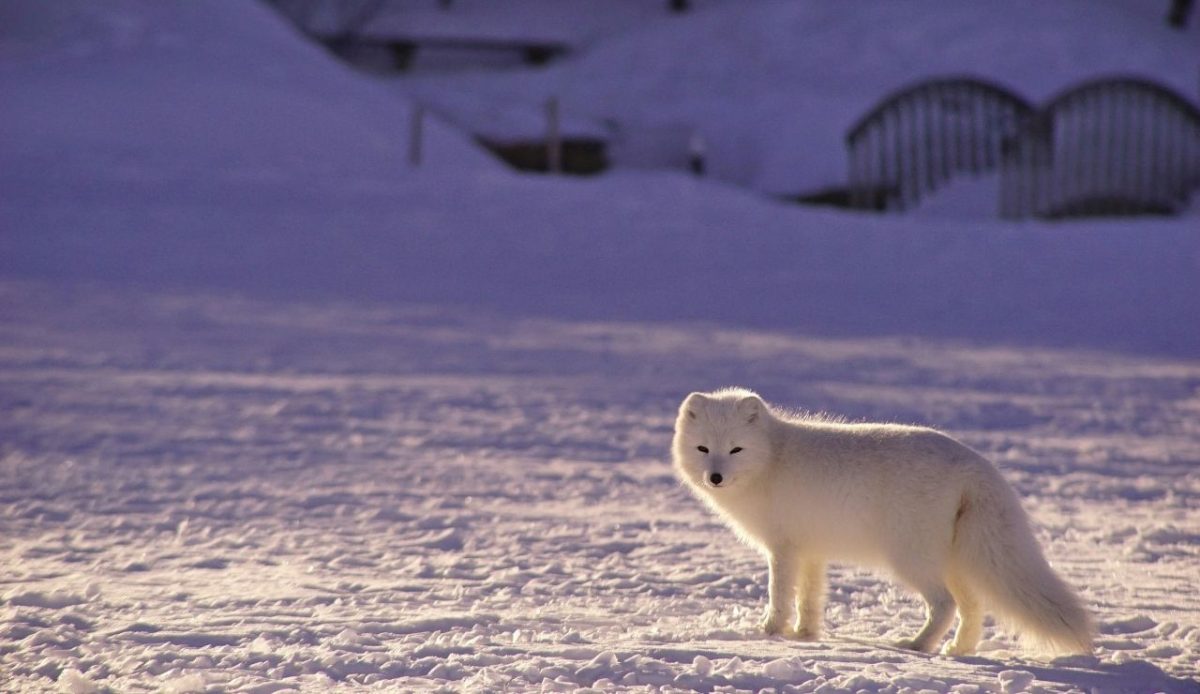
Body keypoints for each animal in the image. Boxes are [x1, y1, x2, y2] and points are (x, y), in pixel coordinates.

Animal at [672, 387, 1093, 656]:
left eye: (736, 450)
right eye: (703, 449)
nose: (715, 477)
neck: (772, 459)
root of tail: (976, 464)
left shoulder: (784, 549)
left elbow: (779, 594)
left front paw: (769, 632)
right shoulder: (811, 551)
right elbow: (810, 598)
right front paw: (806, 635)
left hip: (910, 559)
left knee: (945, 604)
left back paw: (918, 646)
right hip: (955, 561)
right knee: (973, 607)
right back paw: (958, 650)